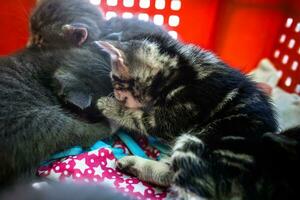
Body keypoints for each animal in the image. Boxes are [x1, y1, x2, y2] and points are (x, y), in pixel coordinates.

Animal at [92, 36, 298, 200]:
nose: (115, 95)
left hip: (195, 142)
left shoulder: (174, 115)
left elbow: (140, 119)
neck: (180, 68)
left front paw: (108, 105)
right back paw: (132, 164)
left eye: (116, 81)